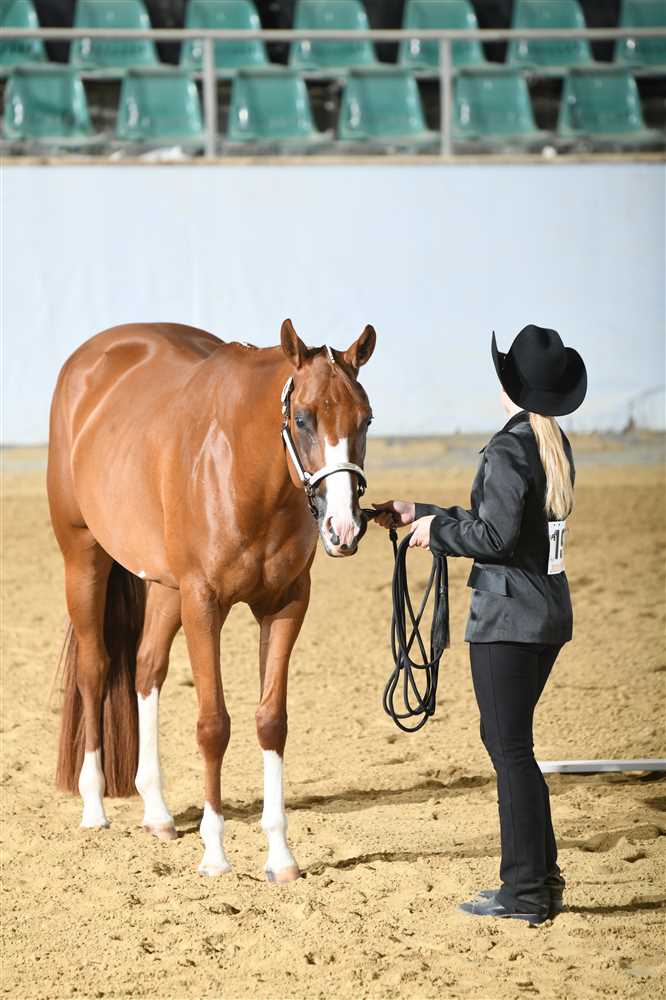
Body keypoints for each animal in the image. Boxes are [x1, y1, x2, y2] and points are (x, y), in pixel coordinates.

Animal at [47, 318, 376, 883]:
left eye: (367, 419)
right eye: (303, 418)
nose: (344, 528)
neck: (243, 470)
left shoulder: (286, 606)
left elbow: (271, 721)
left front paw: (280, 858)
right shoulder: (204, 605)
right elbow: (213, 726)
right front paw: (216, 854)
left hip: (165, 589)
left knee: (145, 668)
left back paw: (157, 813)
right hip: (83, 560)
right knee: (94, 670)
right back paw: (94, 806)